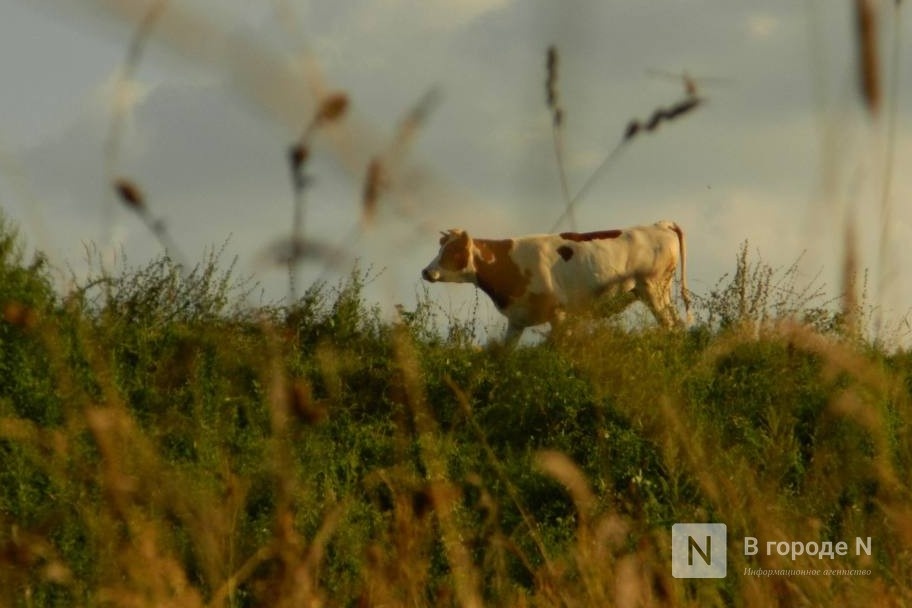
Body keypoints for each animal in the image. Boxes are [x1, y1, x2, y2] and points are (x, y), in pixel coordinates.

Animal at [420, 221, 692, 344]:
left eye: (452, 251)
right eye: (440, 248)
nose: (426, 271)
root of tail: (658, 224)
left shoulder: (559, 315)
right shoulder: (517, 319)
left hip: (652, 288)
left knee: (670, 325)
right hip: (659, 292)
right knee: (676, 324)